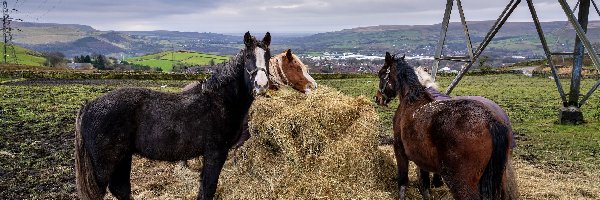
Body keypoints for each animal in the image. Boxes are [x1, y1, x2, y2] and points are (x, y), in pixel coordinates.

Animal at [75, 31, 274, 200]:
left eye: (268, 56)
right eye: (248, 57)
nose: (261, 85)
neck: (220, 99)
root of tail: (88, 106)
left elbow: (203, 189)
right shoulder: (215, 153)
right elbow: (208, 189)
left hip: (123, 158)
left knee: (121, 189)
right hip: (104, 166)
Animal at [372, 52, 516, 199]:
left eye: (382, 74)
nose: (378, 98)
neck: (411, 98)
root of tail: (490, 120)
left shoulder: (399, 148)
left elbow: (403, 181)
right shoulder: (421, 158)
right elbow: (425, 185)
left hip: (460, 184)